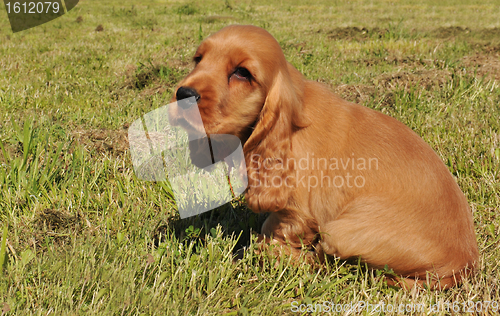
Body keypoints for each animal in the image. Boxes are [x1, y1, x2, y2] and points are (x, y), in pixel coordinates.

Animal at [169, 25, 480, 288]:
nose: (182, 94)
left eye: (242, 73)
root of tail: (461, 266)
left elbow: (277, 230)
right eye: (198, 59)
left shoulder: (298, 209)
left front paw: (269, 247)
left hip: (342, 232)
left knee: (326, 261)